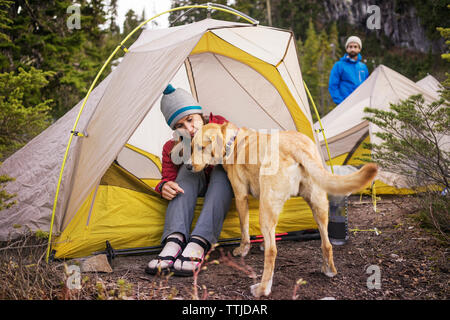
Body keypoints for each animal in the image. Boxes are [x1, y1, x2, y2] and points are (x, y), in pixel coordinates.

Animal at [188, 120, 378, 298]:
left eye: (201, 147)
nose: (189, 167)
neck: (232, 142)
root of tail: (296, 146)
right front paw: (262, 243)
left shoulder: (241, 196)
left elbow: (244, 228)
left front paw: (243, 249)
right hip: (317, 205)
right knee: (327, 243)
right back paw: (329, 270)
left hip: (268, 207)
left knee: (272, 252)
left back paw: (262, 289)